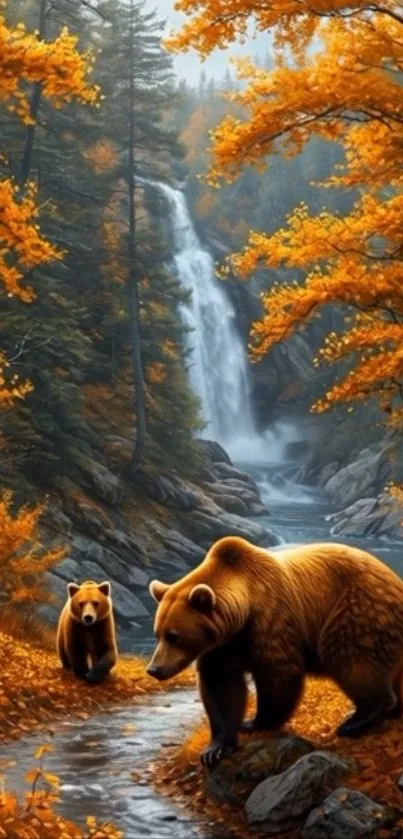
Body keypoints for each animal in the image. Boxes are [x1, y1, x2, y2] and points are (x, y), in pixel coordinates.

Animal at [147, 537, 403, 768]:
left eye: (174, 636)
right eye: (157, 633)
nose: (154, 669)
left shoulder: (270, 618)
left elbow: (278, 673)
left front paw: (255, 722)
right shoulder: (222, 646)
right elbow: (221, 686)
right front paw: (215, 748)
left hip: (359, 608)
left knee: (350, 657)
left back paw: (356, 720)